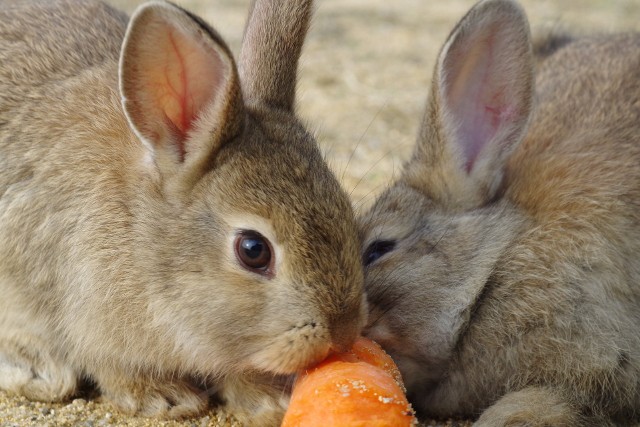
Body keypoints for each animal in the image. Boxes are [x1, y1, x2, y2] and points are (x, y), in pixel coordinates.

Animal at [0, 0, 368, 422]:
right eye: (253, 250)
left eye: (347, 212)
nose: (343, 332)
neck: (142, 236)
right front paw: (167, 398)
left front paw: (269, 400)